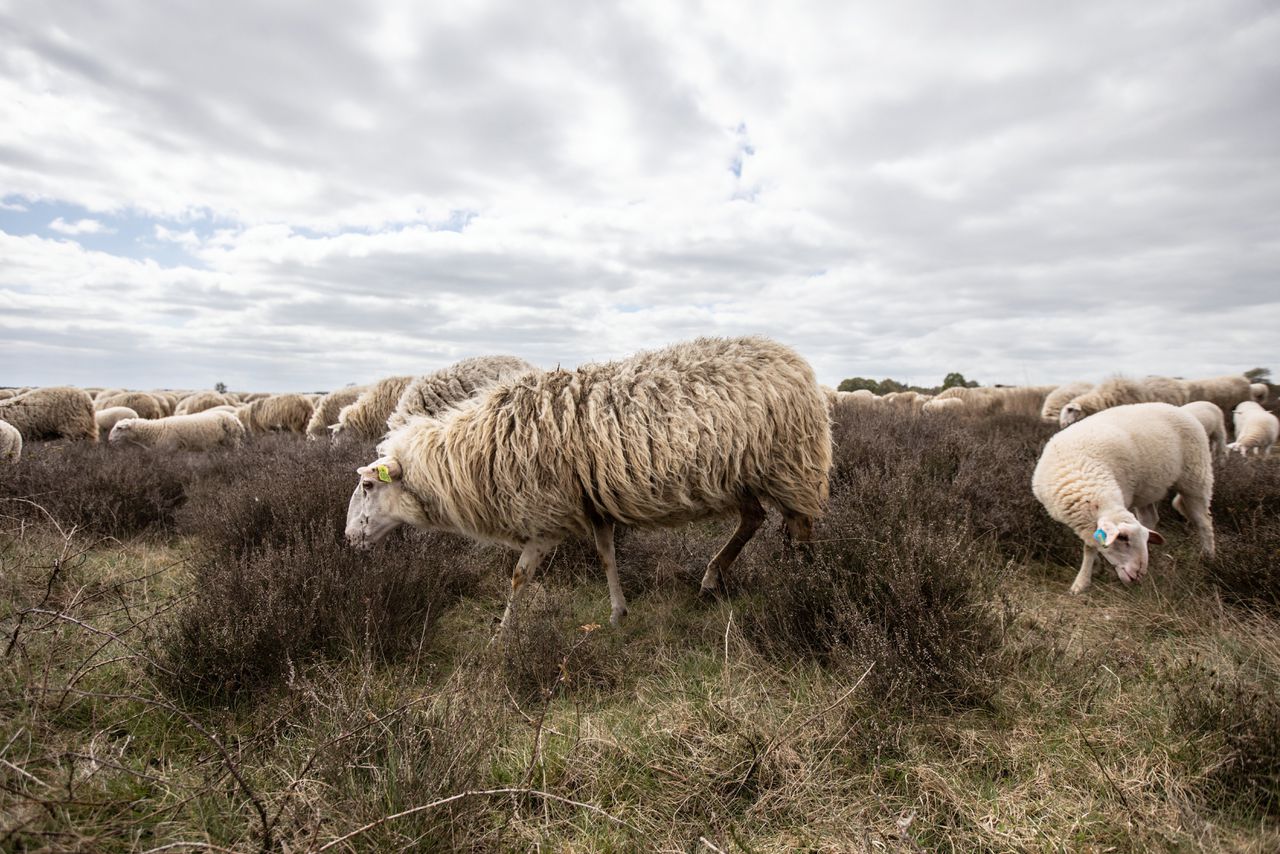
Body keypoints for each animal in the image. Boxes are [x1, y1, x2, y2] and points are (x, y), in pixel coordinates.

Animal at [1029, 402, 1208, 594]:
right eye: (1123, 538)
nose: (1138, 575)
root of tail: (1178, 408)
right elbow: (1089, 542)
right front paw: (1095, 568)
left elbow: (1090, 547)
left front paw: (1081, 582)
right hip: (1147, 490)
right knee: (1150, 517)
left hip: (1195, 476)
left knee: (1203, 521)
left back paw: (1209, 557)